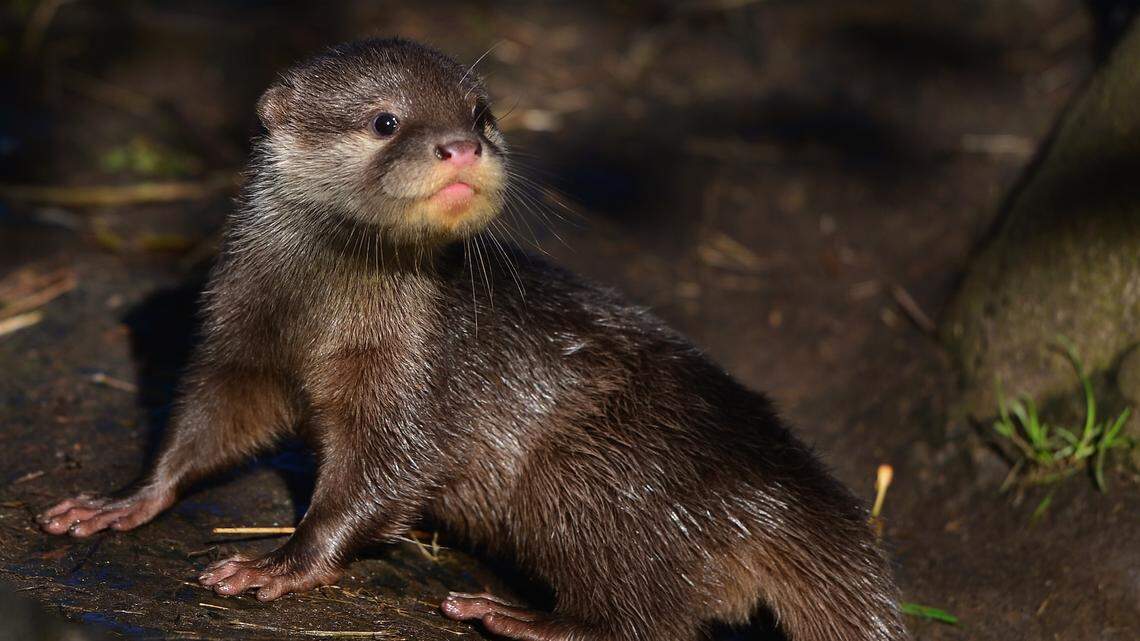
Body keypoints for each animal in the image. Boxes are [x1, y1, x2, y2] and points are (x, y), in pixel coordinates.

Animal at [37, 38, 906, 641]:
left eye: (482, 113)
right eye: (385, 120)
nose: (461, 143)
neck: (319, 319)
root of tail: (780, 490)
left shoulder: (419, 373)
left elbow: (381, 476)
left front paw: (276, 563)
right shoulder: (240, 331)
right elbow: (203, 422)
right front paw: (119, 500)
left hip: (594, 477)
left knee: (648, 616)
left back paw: (516, 615)